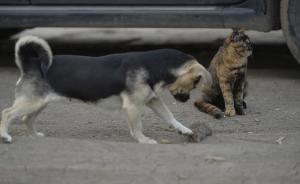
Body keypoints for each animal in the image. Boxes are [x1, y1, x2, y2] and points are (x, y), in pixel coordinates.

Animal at [0, 36, 211, 144]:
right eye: (195, 83)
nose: (187, 100)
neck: (153, 66)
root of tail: (32, 64)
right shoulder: (133, 106)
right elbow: (138, 127)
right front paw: (143, 140)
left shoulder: (153, 100)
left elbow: (170, 117)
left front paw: (185, 130)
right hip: (31, 102)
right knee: (7, 113)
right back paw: (5, 135)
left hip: (39, 103)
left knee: (26, 119)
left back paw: (34, 135)